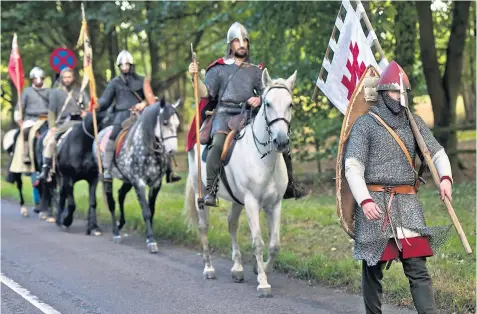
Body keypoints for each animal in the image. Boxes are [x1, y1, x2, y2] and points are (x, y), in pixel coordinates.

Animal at [184, 68, 296, 296]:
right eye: (267, 104)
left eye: (290, 104)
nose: (281, 141)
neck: (263, 158)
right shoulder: (252, 202)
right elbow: (258, 242)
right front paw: (263, 283)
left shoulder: (274, 204)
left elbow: (274, 245)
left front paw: (260, 269)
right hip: (201, 192)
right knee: (203, 226)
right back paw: (209, 268)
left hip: (237, 199)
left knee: (231, 224)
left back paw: (237, 268)